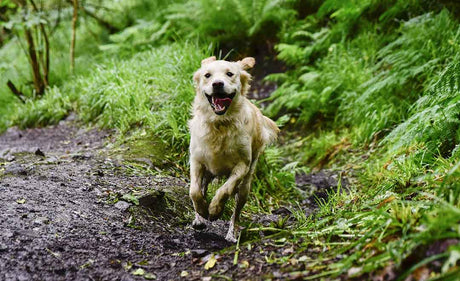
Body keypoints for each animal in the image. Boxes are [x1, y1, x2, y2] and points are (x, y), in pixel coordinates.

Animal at [189, 56, 278, 241]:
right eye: (207, 75)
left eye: (230, 74)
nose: (217, 84)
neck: (220, 124)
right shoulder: (196, 160)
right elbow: (194, 191)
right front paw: (201, 211)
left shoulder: (242, 165)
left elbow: (225, 189)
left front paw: (215, 209)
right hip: (208, 172)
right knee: (202, 188)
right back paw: (199, 219)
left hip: (246, 185)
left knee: (236, 212)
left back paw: (231, 233)